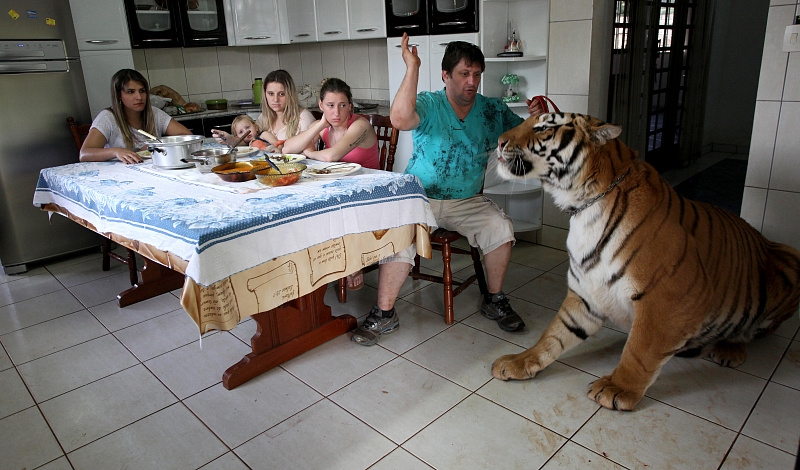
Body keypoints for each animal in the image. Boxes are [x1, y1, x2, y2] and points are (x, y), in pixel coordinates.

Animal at [490, 112, 796, 410]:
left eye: (543, 127)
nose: (499, 142)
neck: (585, 206)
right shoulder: (586, 293)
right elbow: (553, 335)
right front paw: (518, 362)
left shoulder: (669, 300)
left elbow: (640, 351)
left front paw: (617, 388)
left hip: (789, 256)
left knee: (753, 330)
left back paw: (729, 348)